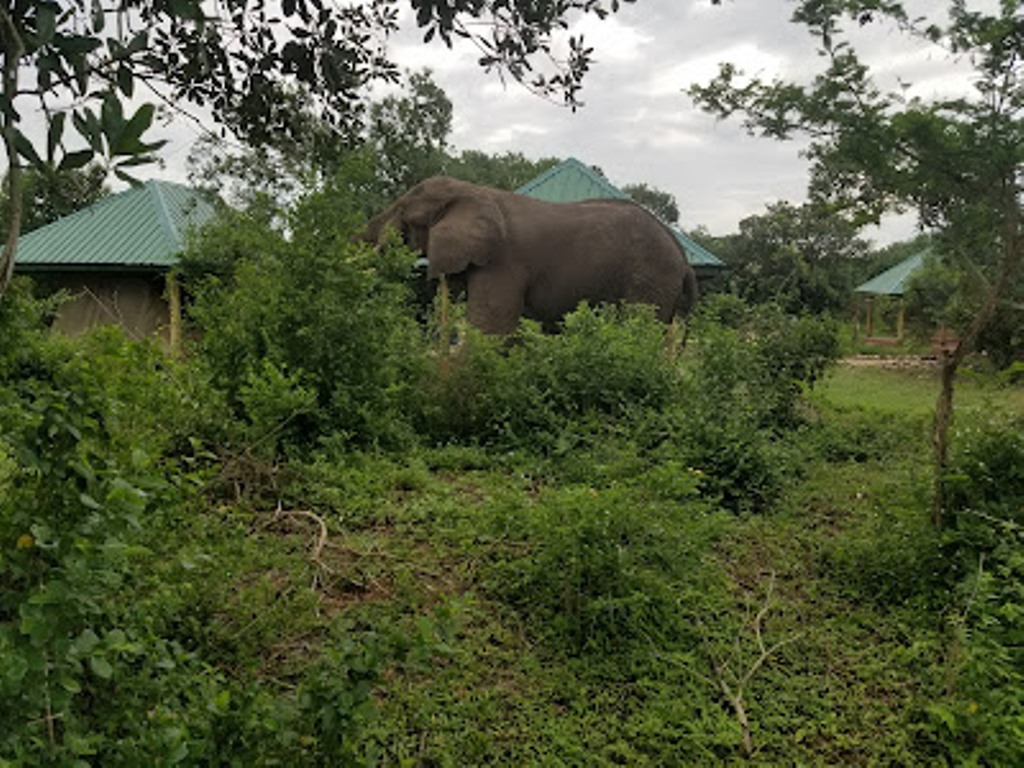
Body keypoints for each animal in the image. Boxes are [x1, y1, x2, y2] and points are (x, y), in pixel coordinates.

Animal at [362, 179, 704, 337]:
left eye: (404, 214)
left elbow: (491, 326)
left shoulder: (502, 263)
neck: (472, 190)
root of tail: (684, 260)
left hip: (649, 280)